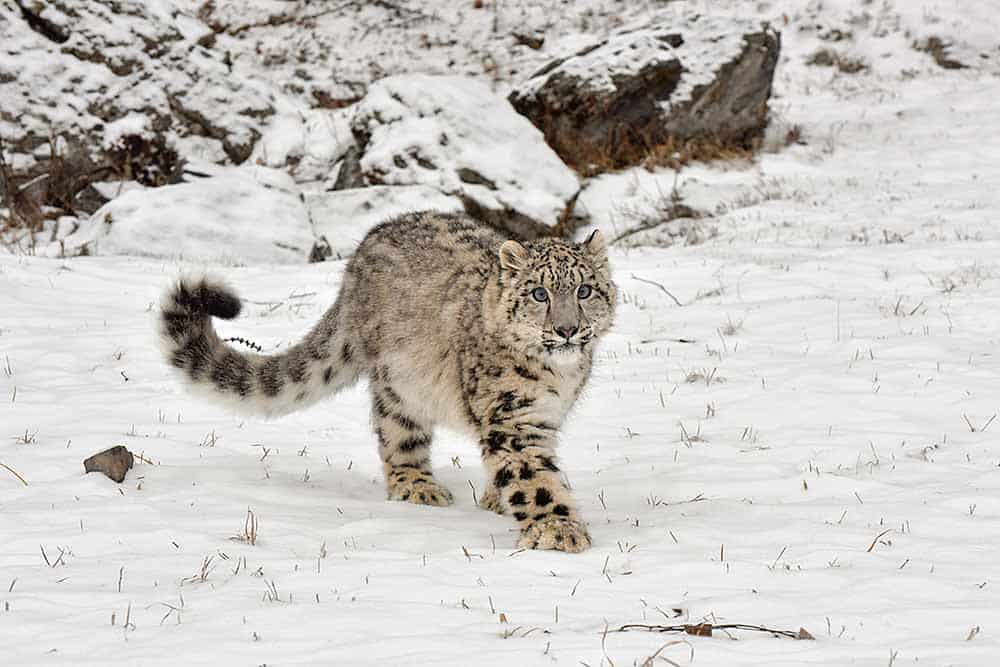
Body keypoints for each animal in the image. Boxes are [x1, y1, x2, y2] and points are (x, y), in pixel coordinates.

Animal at [159, 214, 612, 552]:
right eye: (539, 294)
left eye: (585, 290)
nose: (568, 329)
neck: (558, 377)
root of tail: (359, 256)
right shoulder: (512, 417)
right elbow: (533, 477)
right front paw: (558, 530)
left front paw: (495, 502)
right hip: (400, 388)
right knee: (398, 438)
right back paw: (419, 487)